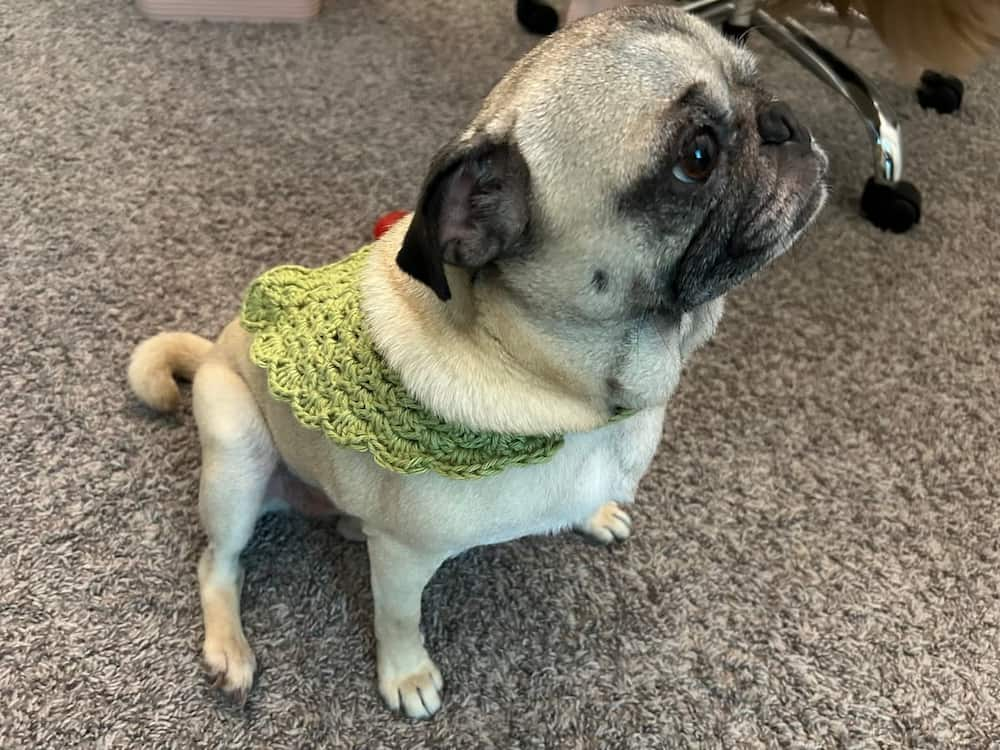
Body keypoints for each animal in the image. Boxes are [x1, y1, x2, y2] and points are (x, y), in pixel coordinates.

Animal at [127, 7, 828, 724]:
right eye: (697, 157)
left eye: (756, 77)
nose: (785, 120)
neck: (567, 389)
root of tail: (213, 349)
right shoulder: (404, 558)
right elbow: (399, 619)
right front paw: (406, 675)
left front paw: (594, 513)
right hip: (238, 452)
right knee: (219, 563)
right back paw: (230, 649)